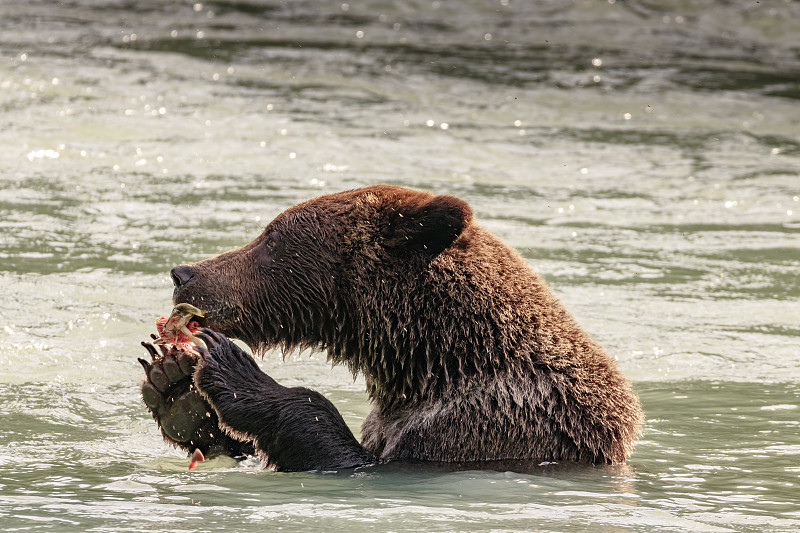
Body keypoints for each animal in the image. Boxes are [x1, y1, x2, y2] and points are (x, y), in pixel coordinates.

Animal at [139, 184, 644, 470]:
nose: (184, 273)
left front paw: (232, 369)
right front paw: (176, 390)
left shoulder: (487, 426)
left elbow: (343, 456)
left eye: (271, 238)